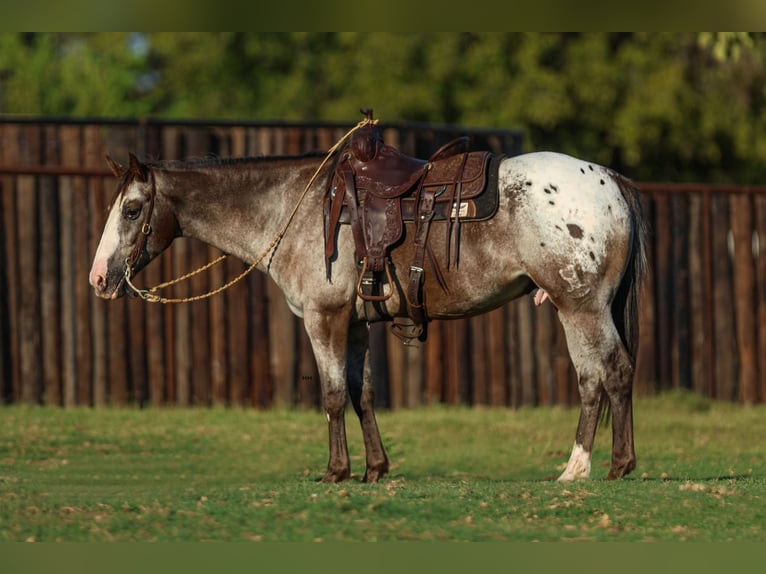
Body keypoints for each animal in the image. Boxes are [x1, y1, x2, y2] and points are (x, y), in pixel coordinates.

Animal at [91, 141, 656, 486]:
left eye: (133, 210)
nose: (98, 278)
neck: (295, 208)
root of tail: (609, 178)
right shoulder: (357, 324)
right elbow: (362, 393)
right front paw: (375, 469)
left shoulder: (323, 318)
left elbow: (332, 394)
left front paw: (335, 471)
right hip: (578, 308)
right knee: (600, 378)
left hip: (579, 306)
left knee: (609, 373)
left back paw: (595, 467)